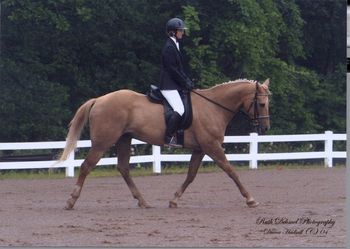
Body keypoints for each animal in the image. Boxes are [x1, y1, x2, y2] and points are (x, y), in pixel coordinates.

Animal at [58, 78, 270, 210]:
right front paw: (250, 199)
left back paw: (143, 202)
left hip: (124, 139)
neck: (213, 107)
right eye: (261, 104)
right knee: (86, 166)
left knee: (123, 168)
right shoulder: (212, 147)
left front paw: (174, 200)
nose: (265, 128)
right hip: (103, 142)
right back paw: (70, 201)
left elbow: (191, 175)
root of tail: (99, 99)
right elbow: (231, 171)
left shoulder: (200, 149)